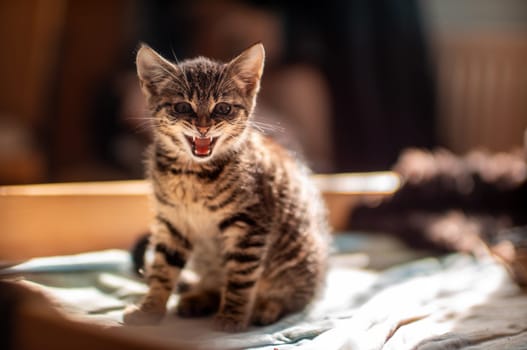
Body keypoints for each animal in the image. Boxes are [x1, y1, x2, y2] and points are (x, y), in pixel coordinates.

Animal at [124, 43, 330, 330]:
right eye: (182, 107)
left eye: (222, 108)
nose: (202, 127)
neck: (191, 174)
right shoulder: (173, 222)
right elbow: (163, 268)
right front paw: (149, 310)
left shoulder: (251, 225)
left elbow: (240, 278)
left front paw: (231, 317)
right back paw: (199, 297)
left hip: (299, 259)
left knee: (295, 298)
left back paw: (266, 307)